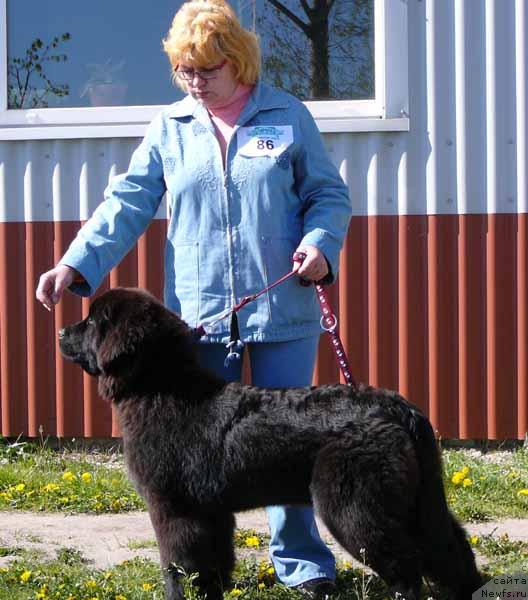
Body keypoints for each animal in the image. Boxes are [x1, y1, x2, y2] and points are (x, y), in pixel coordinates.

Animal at [58, 288, 482, 596]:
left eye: (92, 321)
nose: (61, 331)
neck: (159, 388)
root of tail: (400, 408)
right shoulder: (210, 509)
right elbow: (212, 559)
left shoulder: (174, 505)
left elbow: (179, 562)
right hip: (415, 499)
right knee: (449, 546)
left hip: (356, 503)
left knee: (406, 561)